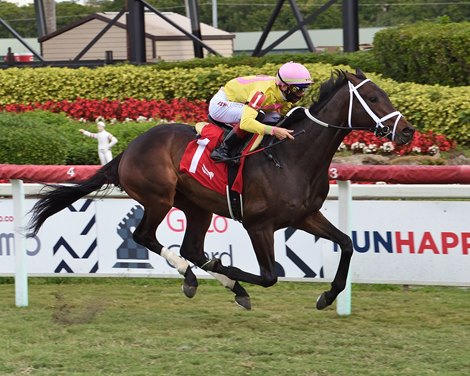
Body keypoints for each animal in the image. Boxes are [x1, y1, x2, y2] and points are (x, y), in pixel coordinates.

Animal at [27, 69, 414, 310]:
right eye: (374, 98)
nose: (407, 131)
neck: (290, 156)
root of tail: (129, 148)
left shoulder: (304, 215)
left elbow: (347, 244)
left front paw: (328, 295)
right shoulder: (259, 225)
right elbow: (269, 276)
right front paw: (226, 269)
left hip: (197, 206)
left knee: (190, 249)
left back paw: (214, 281)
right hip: (158, 198)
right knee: (146, 237)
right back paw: (195, 277)